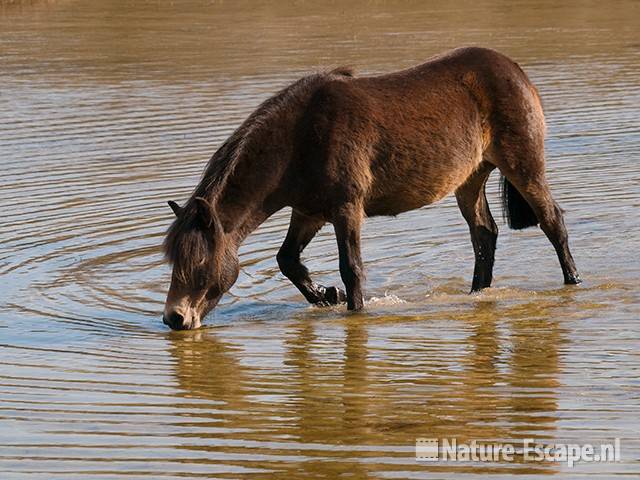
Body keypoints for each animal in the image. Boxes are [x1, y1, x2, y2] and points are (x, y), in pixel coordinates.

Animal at [161, 47, 580, 330]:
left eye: (199, 264)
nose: (174, 318)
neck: (299, 138)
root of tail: (514, 68)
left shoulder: (346, 208)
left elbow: (352, 267)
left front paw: (352, 307)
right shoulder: (309, 211)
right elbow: (287, 260)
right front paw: (327, 296)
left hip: (524, 166)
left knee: (552, 222)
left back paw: (572, 283)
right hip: (470, 179)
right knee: (484, 235)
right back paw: (477, 294)